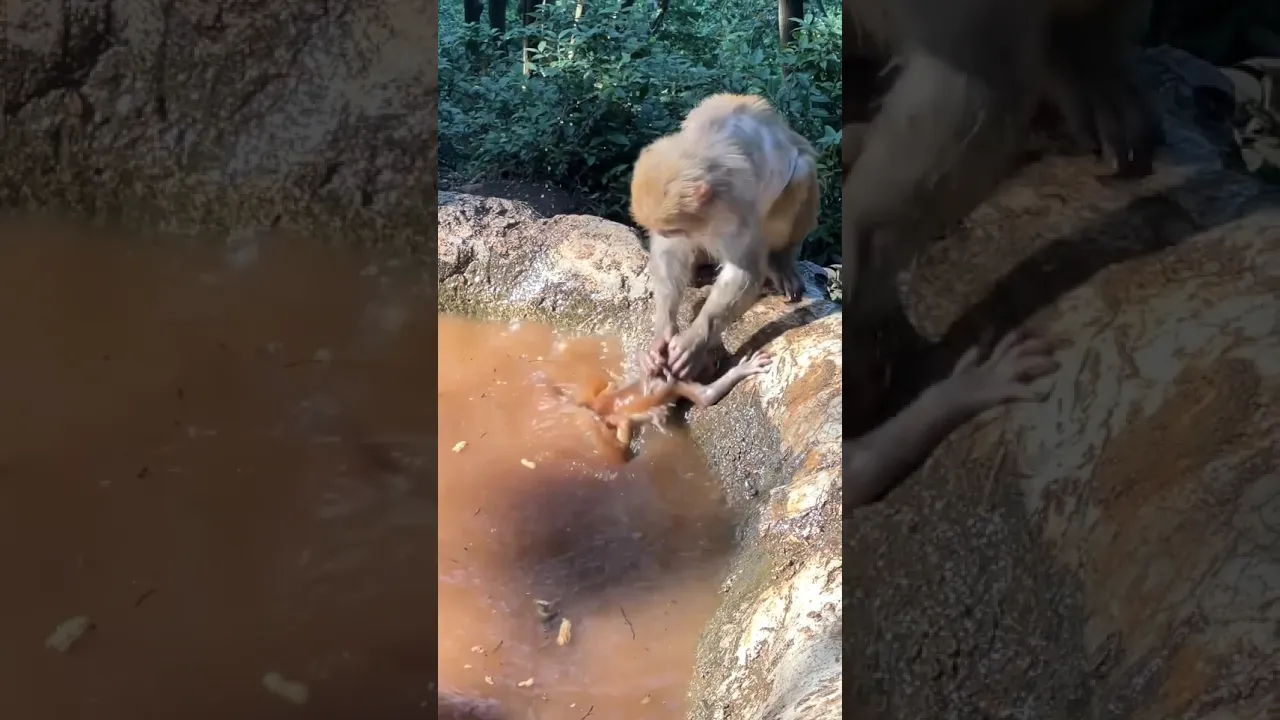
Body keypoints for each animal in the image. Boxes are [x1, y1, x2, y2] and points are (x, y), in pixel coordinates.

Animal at [630, 94, 819, 380]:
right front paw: (662, 332)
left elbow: (744, 272)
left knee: (802, 171)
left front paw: (695, 341)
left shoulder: (736, 206)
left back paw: (780, 261)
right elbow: (668, 253)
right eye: (667, 231)